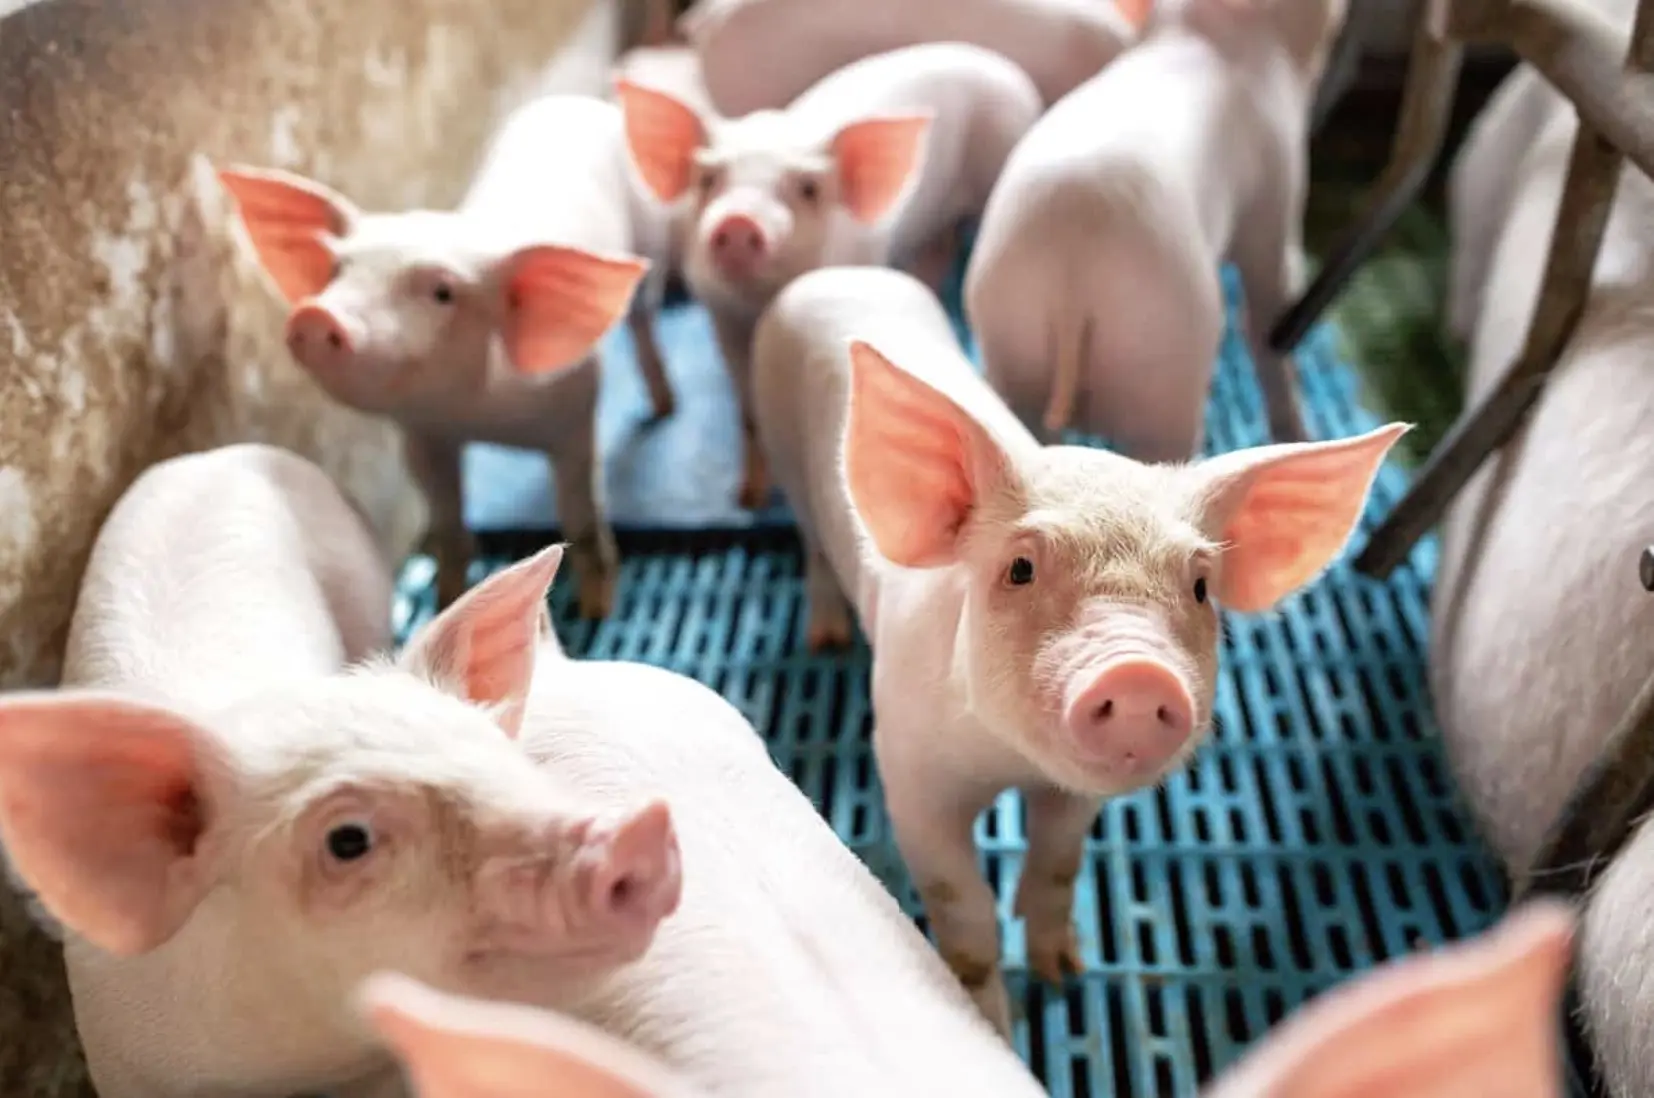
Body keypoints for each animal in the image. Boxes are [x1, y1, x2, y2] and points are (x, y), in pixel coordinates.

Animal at [218, 92, 666, 619]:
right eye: (337, 269)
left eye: (442, 292)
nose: (315, 314)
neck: (478, 417)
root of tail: (575, 101)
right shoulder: (424, 436)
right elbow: (449, 527)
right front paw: (445, 601)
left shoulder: (576, 414)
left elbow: (581, 517)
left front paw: (598, 611)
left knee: (645, 319)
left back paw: (663, 408)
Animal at [750, 265, 1407, 1034]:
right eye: (1020, 568)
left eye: (1200, 586)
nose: (1140, 673)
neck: (1009, 763)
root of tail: (837, 272)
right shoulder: (910, 775)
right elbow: (964, 915)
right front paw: (994, 1025)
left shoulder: (1076, 797)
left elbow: (1058, 865)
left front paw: (1065, 971)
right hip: (786, 461)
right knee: (812, 546)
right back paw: (824, 637)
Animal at [964, 0, 1350, 460]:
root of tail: (1070, 283)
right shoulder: (1275, 197)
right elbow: (1269, 314)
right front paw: (1301, 435)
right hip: (1163, 366)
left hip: (1012, 338)